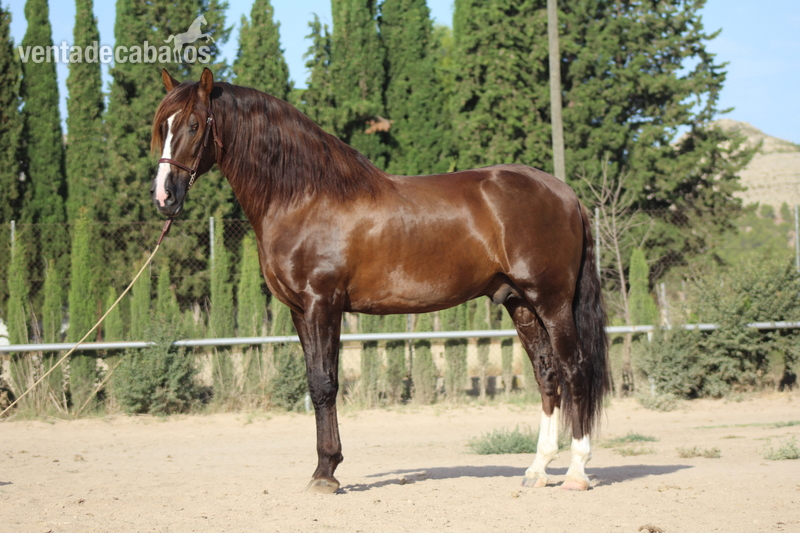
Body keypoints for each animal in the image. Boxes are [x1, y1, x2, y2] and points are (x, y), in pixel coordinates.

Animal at [150, 68, 610, 493]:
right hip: (521, 303)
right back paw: (537, 470)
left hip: (552, 301)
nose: (164, 197)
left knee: (575, 369)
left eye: (194, 124)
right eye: (164, 125)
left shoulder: (323, 304)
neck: (305, 196)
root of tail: (566, 194)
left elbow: (325, 384)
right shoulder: (300, 311)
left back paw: (576, 472)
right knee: (547, 373)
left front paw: (326, 473)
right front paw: (325, 468)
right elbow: (315, 383)